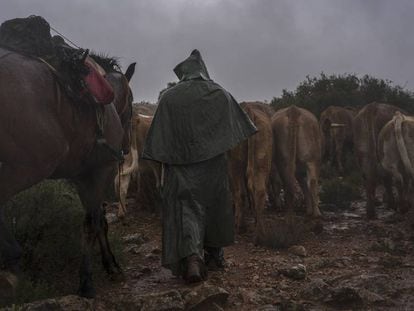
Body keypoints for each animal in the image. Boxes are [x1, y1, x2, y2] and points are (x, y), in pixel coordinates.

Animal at [0, 47, 136, 300]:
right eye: (131, 100)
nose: (125, 145)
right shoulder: (99, 172)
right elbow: (92, 223)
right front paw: (87, 281)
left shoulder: (82, 178)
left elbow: (98, 220)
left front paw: (109, 265)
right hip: (31, 166)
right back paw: (11, 260)